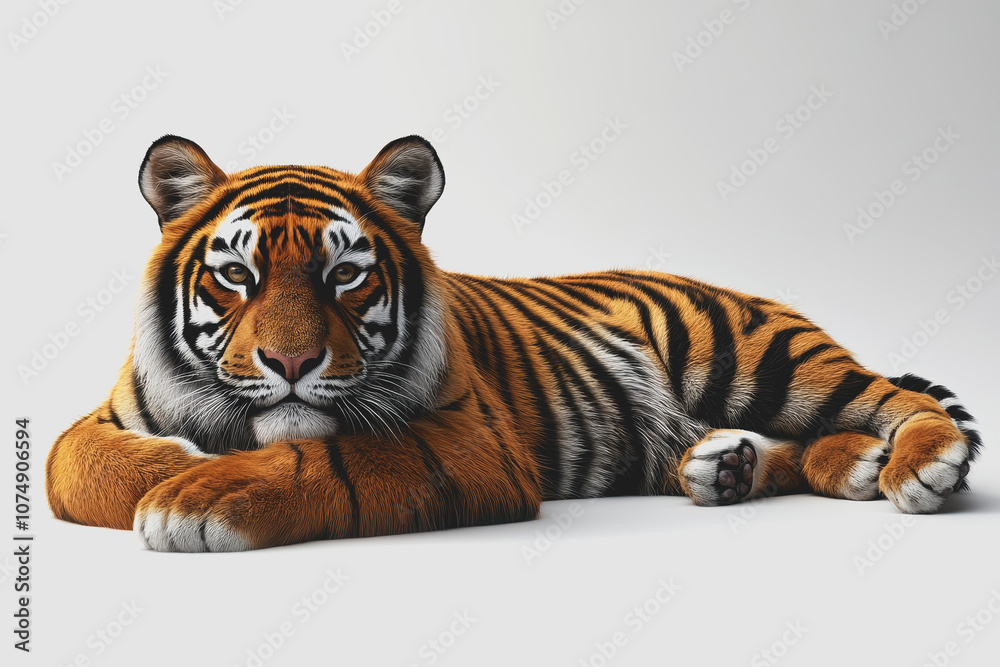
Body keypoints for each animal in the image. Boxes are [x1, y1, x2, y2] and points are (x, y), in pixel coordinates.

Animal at [44, 134, 982, 552]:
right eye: (236, 275)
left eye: (344, 275)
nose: (291, 363)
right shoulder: (101, 420)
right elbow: (75, 466)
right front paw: (177, 468)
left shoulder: (467, 439)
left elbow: (331, 458)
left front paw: (199, 495)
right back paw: (752, 466)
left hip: (756, 355)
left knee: (892, 396)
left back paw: (915, 464)